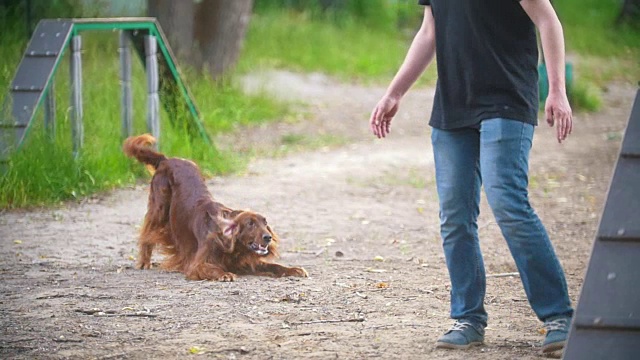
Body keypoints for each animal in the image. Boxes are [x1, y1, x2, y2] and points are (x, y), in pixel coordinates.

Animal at [123, 134, 310, 282]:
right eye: (250, 224)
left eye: (265, 223)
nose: (268, 237)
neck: (233, 247)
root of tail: (166, 160)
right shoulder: (197, 264)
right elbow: (210, 268)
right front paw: (224, 274)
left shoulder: (244, 262)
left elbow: (274, 266)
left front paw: (293, 269)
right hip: (159, 208)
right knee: (147, 233)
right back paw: (144, 262)